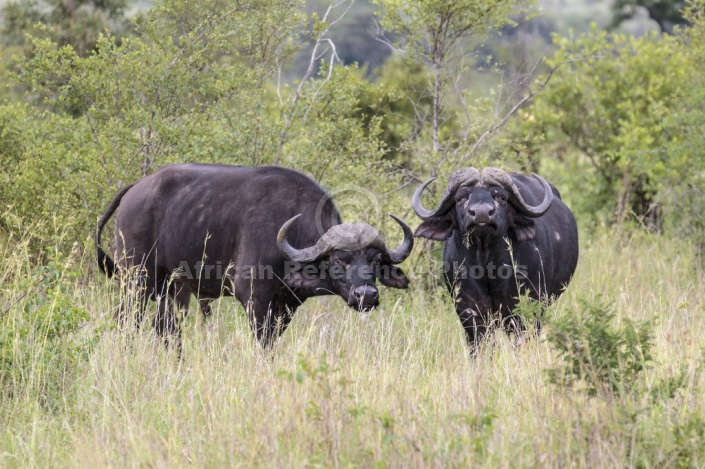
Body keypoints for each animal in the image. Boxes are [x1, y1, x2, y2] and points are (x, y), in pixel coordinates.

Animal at [94, 163, 412, 350]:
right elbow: (263, 344)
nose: (366, 295)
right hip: (135, 281)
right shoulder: (254, 299)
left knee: (166, 329)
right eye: (338, 261)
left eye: (375, 260)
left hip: (170, 289)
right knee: (126, 322)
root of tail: (135, 189)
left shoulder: (286, 306)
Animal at [412, 166, 576, 350]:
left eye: (500, 197)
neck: (487, 267)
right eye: (461, 198)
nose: (481, 213)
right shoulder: (469, 312)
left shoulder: (525, 307)